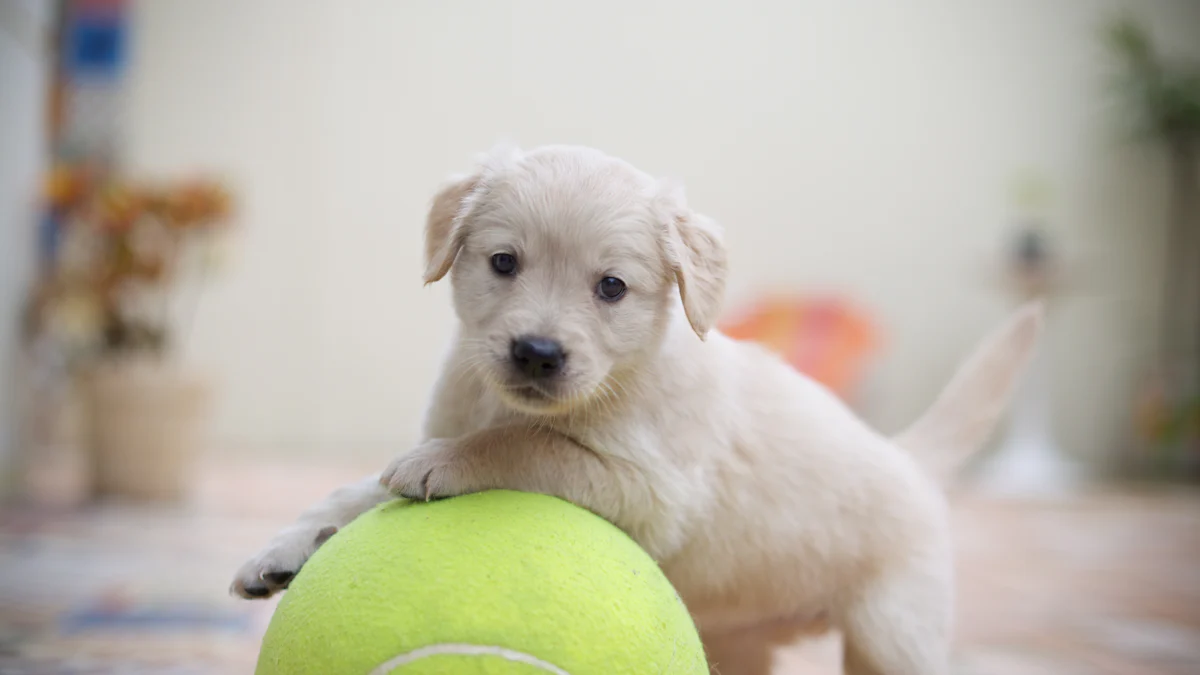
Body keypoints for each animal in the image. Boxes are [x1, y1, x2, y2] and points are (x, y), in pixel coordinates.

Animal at [231, 142, 1041, 672]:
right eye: (503, 262)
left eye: (612, 286)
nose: (536, 352)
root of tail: (911, 458)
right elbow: (359, 488)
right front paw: (286, 548)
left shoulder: (648, 490)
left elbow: (525, 447)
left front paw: (450, 464)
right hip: (741, 642)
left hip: (893, 631)